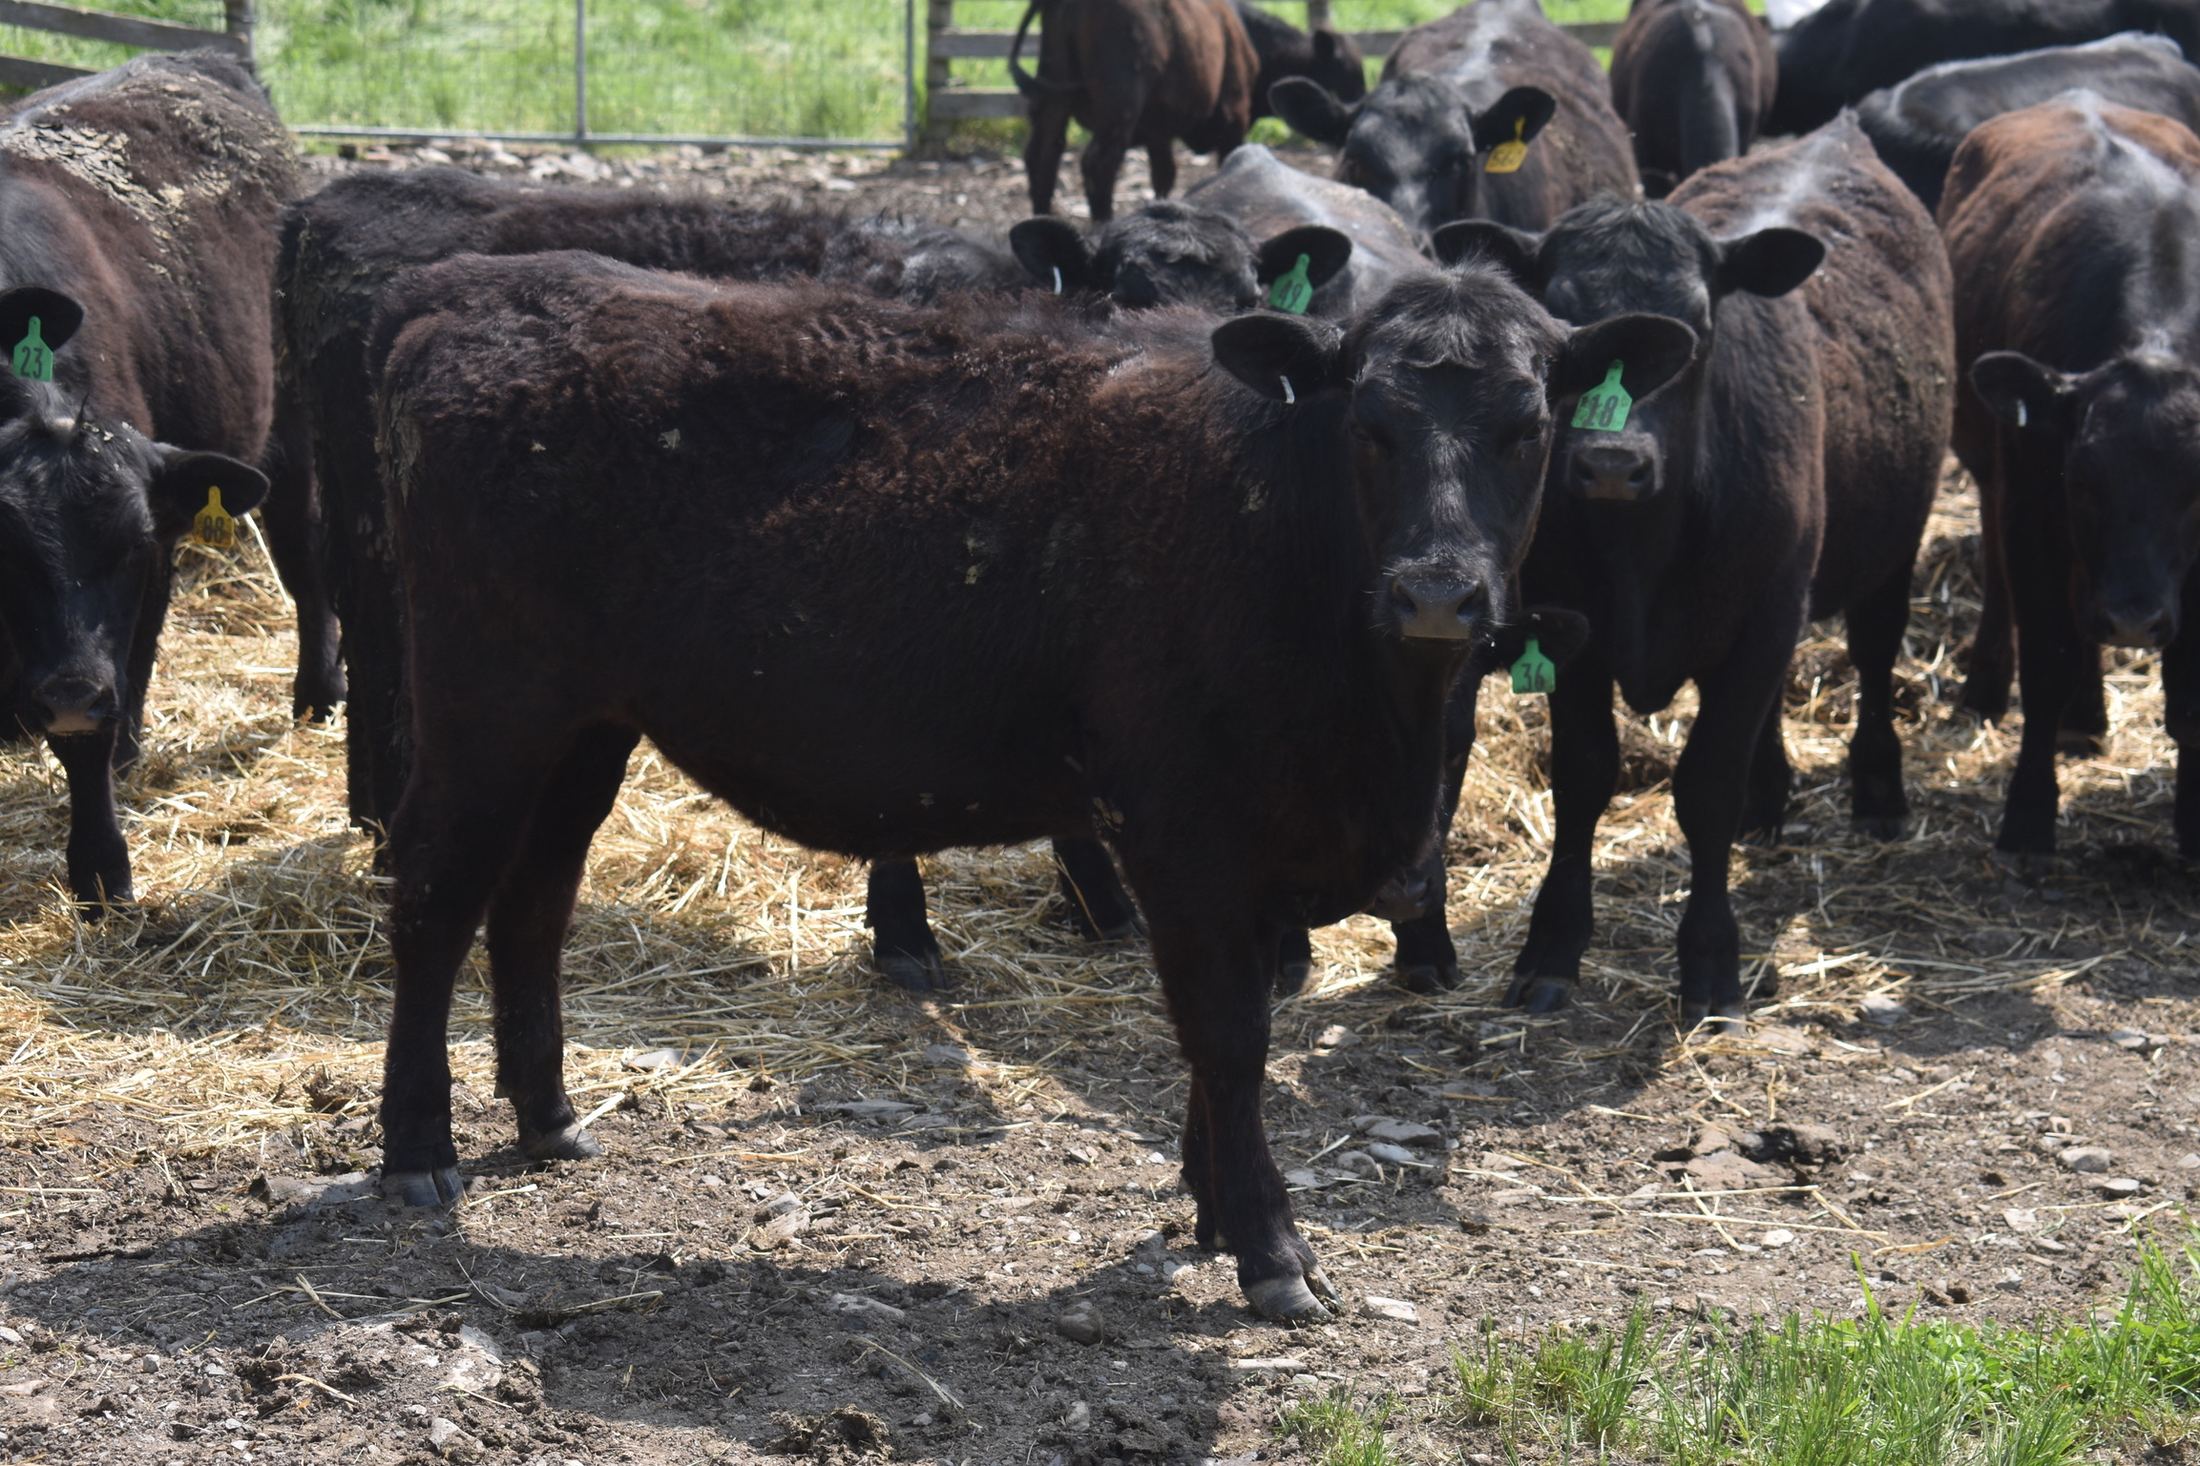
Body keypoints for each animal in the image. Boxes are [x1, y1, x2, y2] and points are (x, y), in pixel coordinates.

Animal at [365, 249, 1694, 1320]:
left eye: (1529, 422)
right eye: (1369, 421)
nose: (1435, 591)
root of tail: (475, 291)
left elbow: (1223, 1037)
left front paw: (1212, 1205)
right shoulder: (1182, 830)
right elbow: (1227, 1034)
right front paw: (1269, 1246)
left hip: (583, 723)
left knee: (534, 897)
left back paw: (548, 1116)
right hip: (487, 705)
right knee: (435, 894)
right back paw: (417, 1145)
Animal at [1010, 0, 1259, 221]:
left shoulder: (1159, 133)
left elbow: (1164, 174)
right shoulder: (1233, 118)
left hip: (1053, 99)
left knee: (1043, 155)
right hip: (1119, 109)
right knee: (1098, 164)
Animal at [1438, 115, 1954, 1028]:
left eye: (1697, 326)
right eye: (1562, 331)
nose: (1611, 462)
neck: (1643, 547)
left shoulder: (1760, 620)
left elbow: (1706, 785)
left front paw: (1711, 959)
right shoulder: (1573, 630)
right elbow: (1584, 775)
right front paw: (1552, 946)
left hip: (1895, 538)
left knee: (1874, 651)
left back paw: (1879, 792)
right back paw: (1770, 795)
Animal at [1940, 93, 2200, 864]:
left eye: (2197, 489)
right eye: (2080, 479)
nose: (2135, 619)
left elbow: (2191, 691)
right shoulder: (2035, 509)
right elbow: (2047, 661)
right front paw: (2028, 815)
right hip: (1994, 473)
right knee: (2005, 580)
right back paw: (1993, 686)